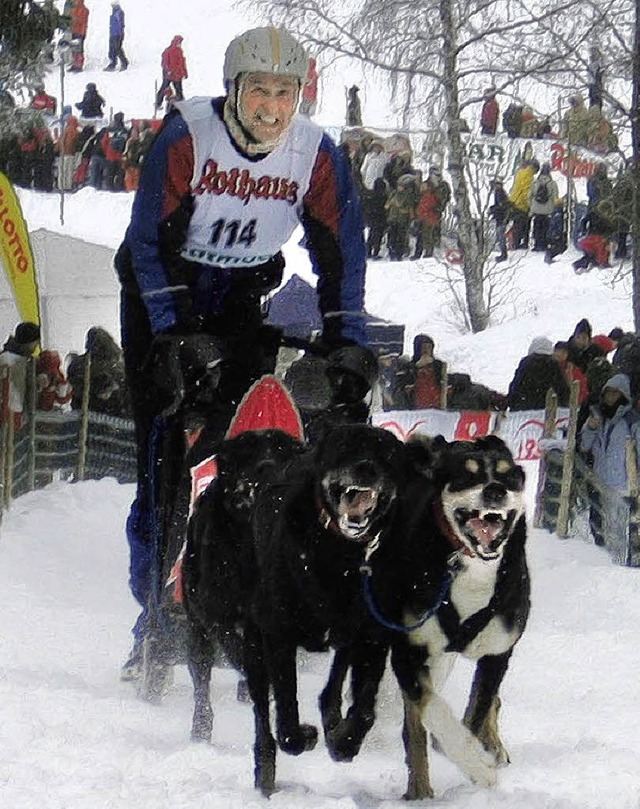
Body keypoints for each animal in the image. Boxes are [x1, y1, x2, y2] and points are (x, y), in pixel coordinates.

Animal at [388, 432, 532, 800]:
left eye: (509, 476)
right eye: (467, 476)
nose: (495, 489)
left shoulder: (498, 651)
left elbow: (479, 708)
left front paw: (479, 759)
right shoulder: (409, 651)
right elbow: (433, 713)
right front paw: (476, 766)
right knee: (417, 723)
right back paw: (420, 788)